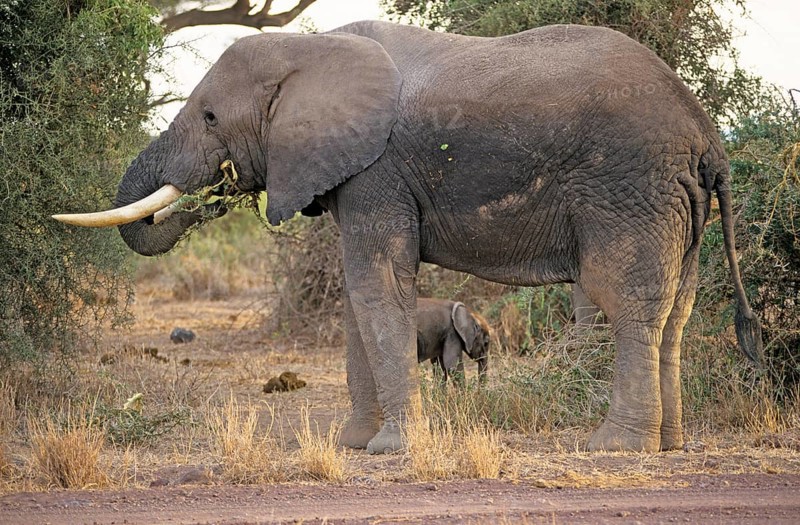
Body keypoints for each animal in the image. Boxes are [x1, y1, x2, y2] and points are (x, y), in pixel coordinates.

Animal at [54, 20, 763, 454]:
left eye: (207, 116)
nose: (215, 190)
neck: (310, 46)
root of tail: (708, 135)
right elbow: (357, 299)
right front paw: (353, 446)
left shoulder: (378, 171)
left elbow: (377, 287)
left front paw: (391, 449)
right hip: (676, 203)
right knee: (677, 311)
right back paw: (669, 445)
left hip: (631, 188)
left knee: (629, 302)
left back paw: (615, 448)